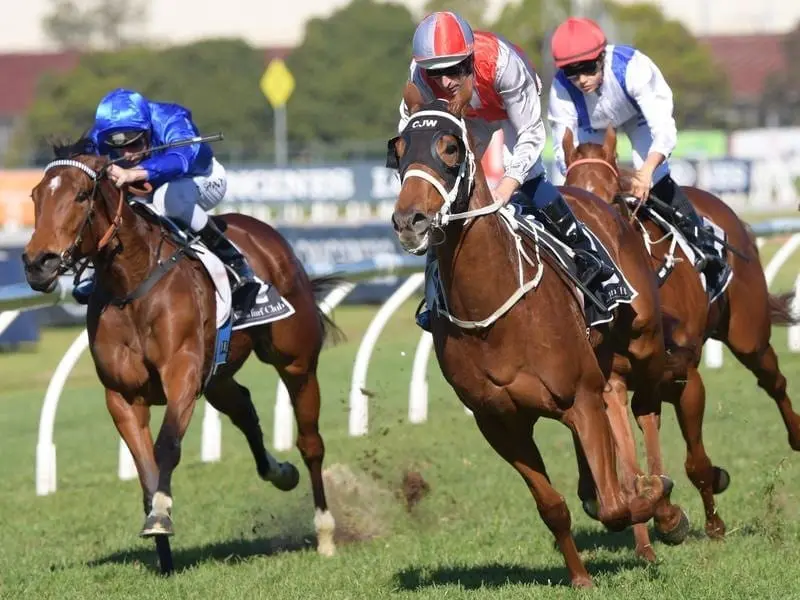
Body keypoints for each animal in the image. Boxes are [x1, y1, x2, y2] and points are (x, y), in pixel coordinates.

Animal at [23, 138, 342, 576]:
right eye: (36, 195)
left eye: (82, 194)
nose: (38, 263)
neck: (132, 283)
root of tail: (266, 232)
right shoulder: (122, 395)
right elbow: (145, 467)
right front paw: (162, 544)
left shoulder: (182, 375)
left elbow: (167, 446)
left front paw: (159, 515)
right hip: (218, 374)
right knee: (243, 407)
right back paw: (280, 473)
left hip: (296, 362)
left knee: (311, 442)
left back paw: (325, 533)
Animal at [390, 79, 680, 584]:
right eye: (400, 148)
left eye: (450, 146)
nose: (410, 221)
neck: (494, 312)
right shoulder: (500, 423)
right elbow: (557, 506)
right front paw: (580, 577)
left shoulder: (579, 396)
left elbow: (614, 504)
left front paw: (653, 499)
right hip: (602, 368)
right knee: (615, 415)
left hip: (643, 344)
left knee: (647, 408)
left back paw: (664, 508)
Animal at [564, 126, 800, 540]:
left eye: (611, 199)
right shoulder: (612, 374)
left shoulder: (686, 375)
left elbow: (695, 463)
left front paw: (714, 523)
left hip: (748, 335)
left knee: (773, 380)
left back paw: (797, 434)